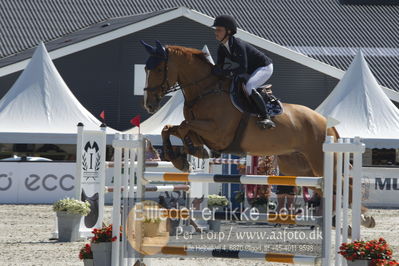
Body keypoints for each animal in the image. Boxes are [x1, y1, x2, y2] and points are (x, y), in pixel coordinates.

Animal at [141, 40, 376, 230]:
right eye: (145, 68)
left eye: (159, 68)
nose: (149, 105)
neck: (206, 90)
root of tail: (326, 122)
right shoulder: (208, 134)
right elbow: (170, 128)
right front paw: (182, 156)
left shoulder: (218, 133)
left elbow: (182, 126)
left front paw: (186, 154)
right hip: (298, 167)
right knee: (331, 187)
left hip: (321, 160)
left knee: (347, 183)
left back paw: (365, 219)